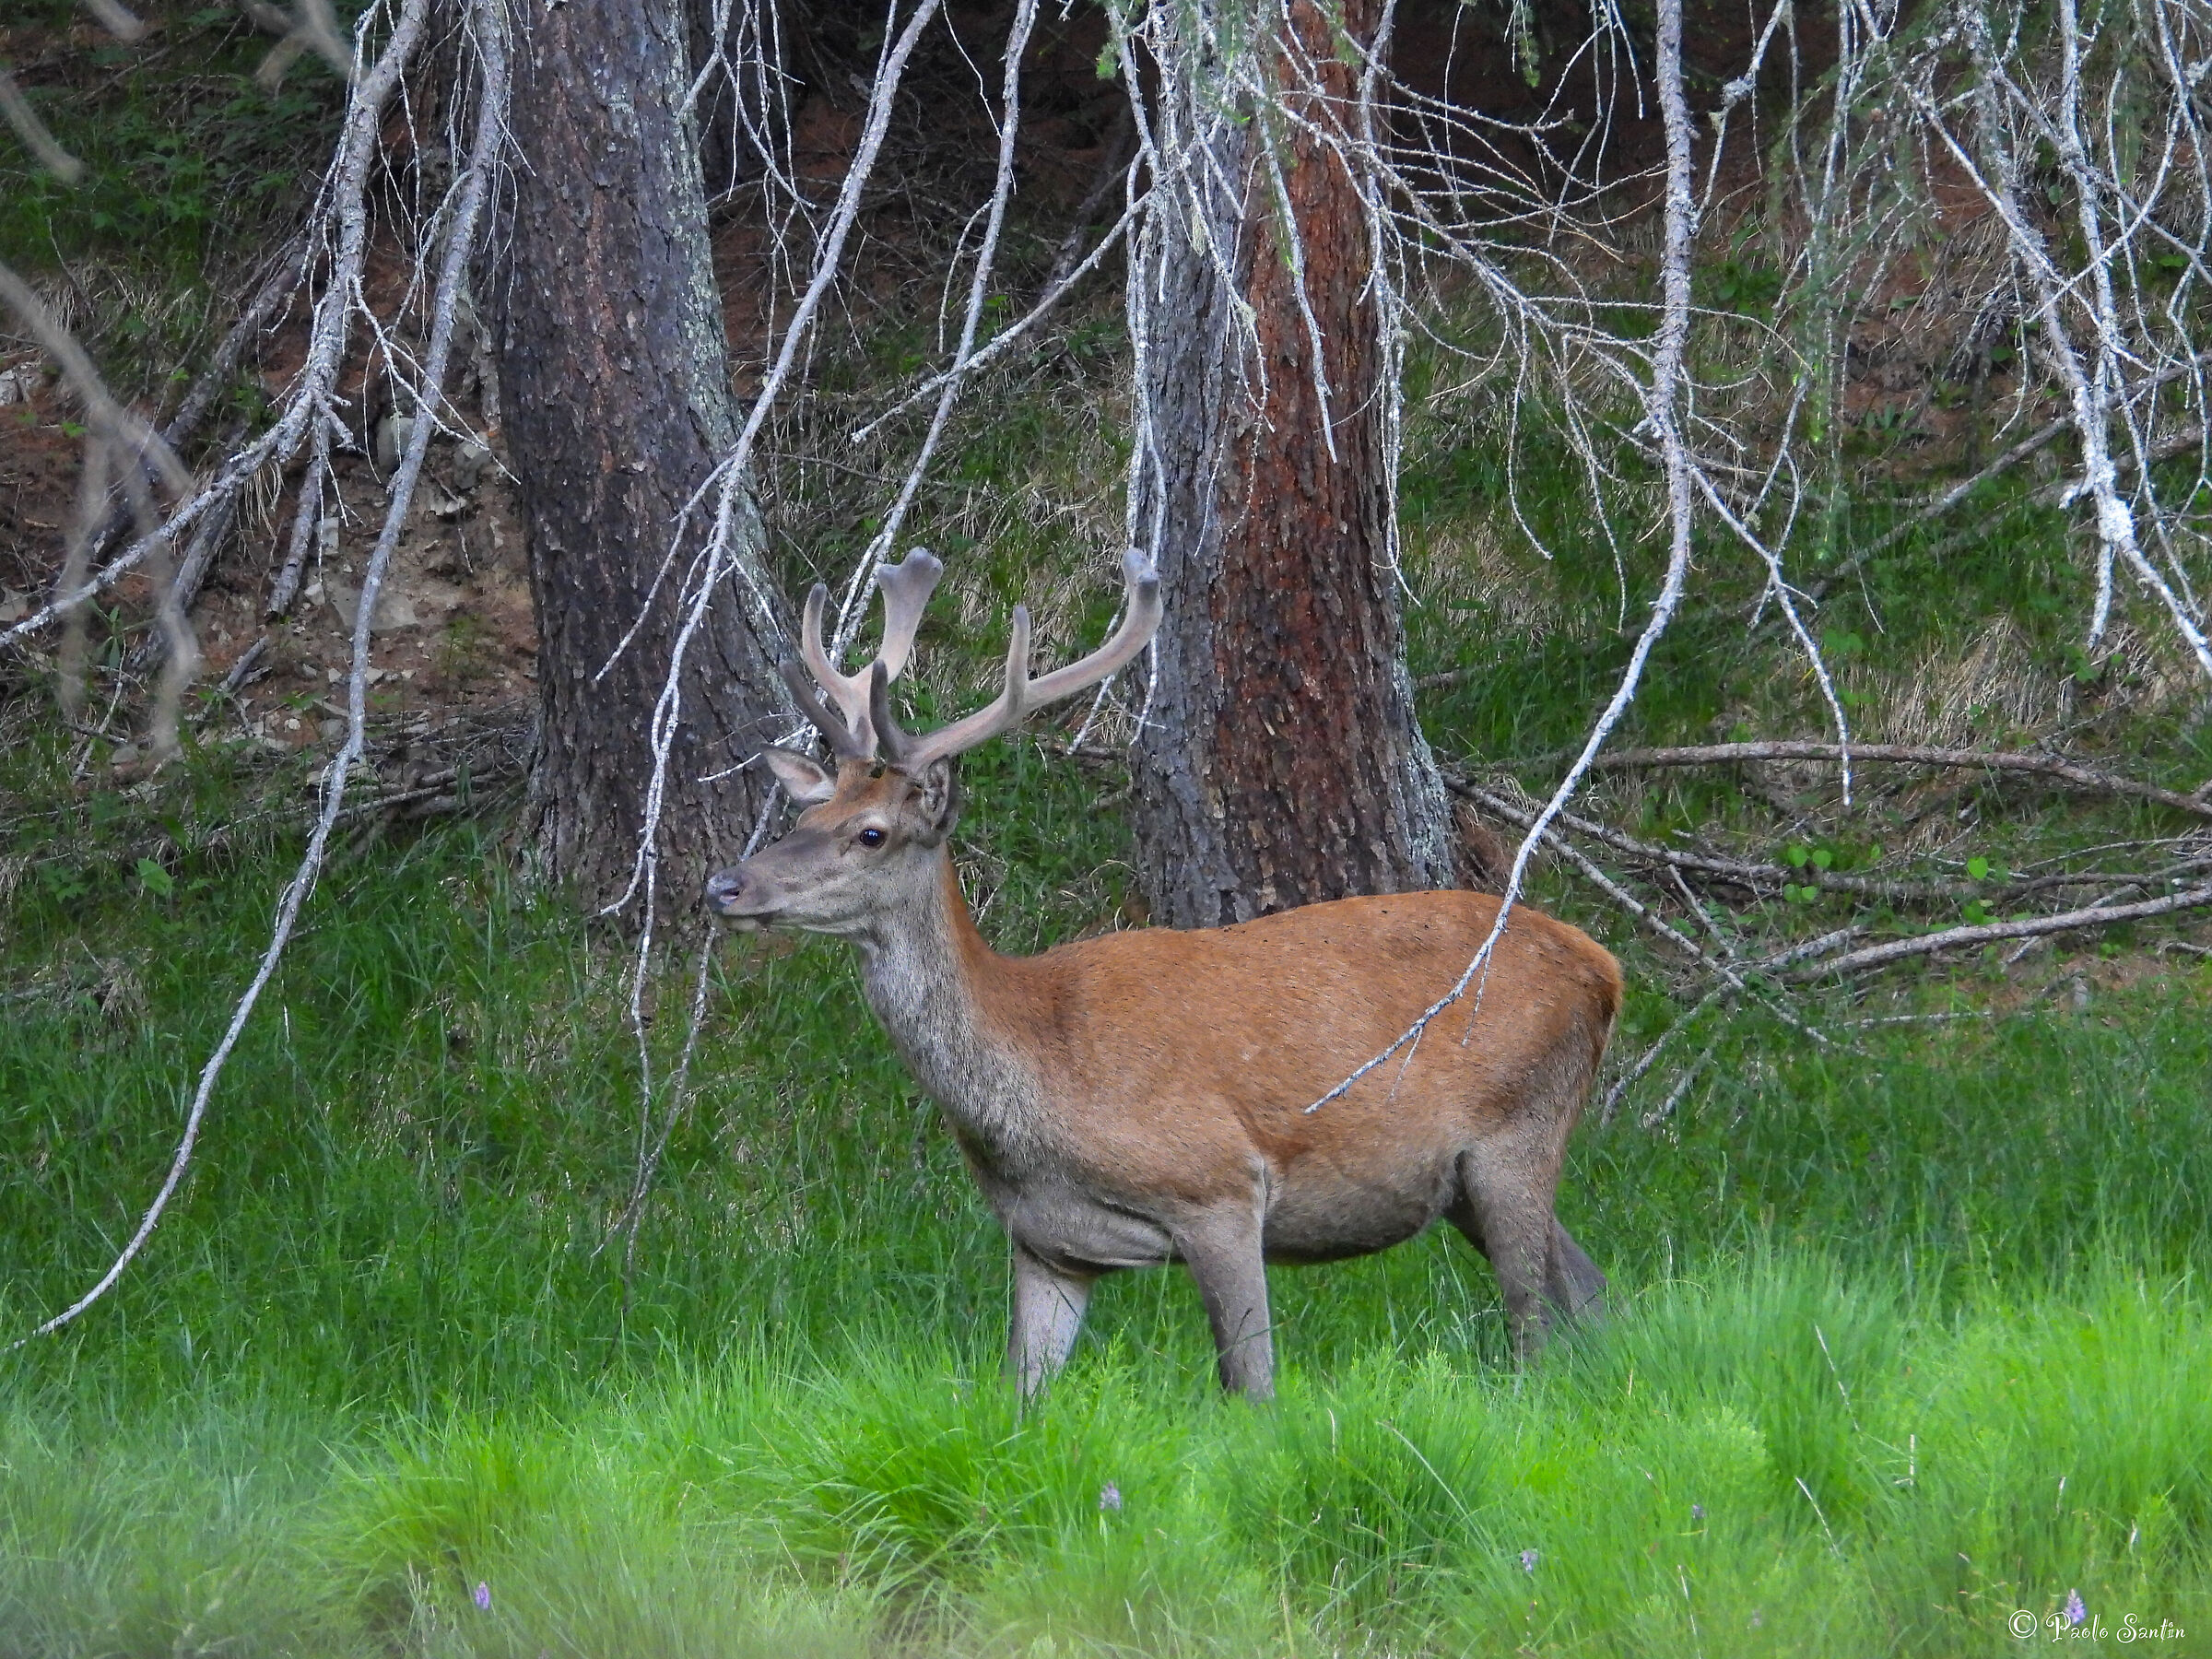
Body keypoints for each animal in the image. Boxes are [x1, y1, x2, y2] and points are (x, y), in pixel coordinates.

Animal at [706, 549, 1621, 1402]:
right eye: (807, 811)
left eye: (870, 833)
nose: (725, 885)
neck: (1037, 1070)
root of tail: (1604, 967)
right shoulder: (1046, 1242)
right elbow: (1018, 1396)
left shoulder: (1218, 1185)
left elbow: (1251, 1386)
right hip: (1470, 1177)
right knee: (1589, 1290)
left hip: (1517, 1127)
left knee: (1534, 1324)